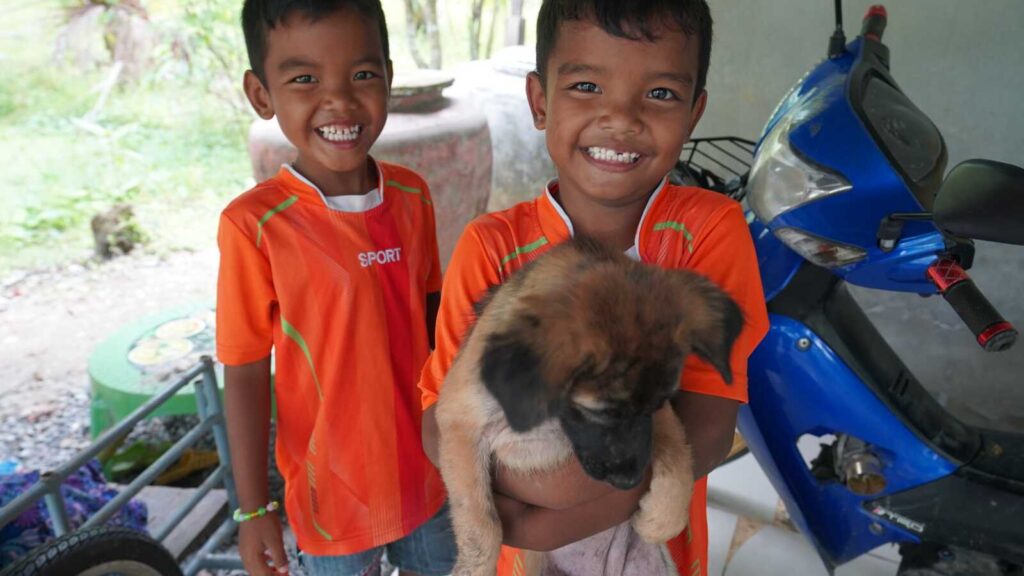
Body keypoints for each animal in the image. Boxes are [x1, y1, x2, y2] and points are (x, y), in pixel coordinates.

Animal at [436, 234, 741, 573]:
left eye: (655, 405)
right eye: (599, 412)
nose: (630, 481)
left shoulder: (658, 413)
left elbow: (677, 452)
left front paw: (662, 518)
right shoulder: (458, 424)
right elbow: (481, 525)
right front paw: (471, 568)